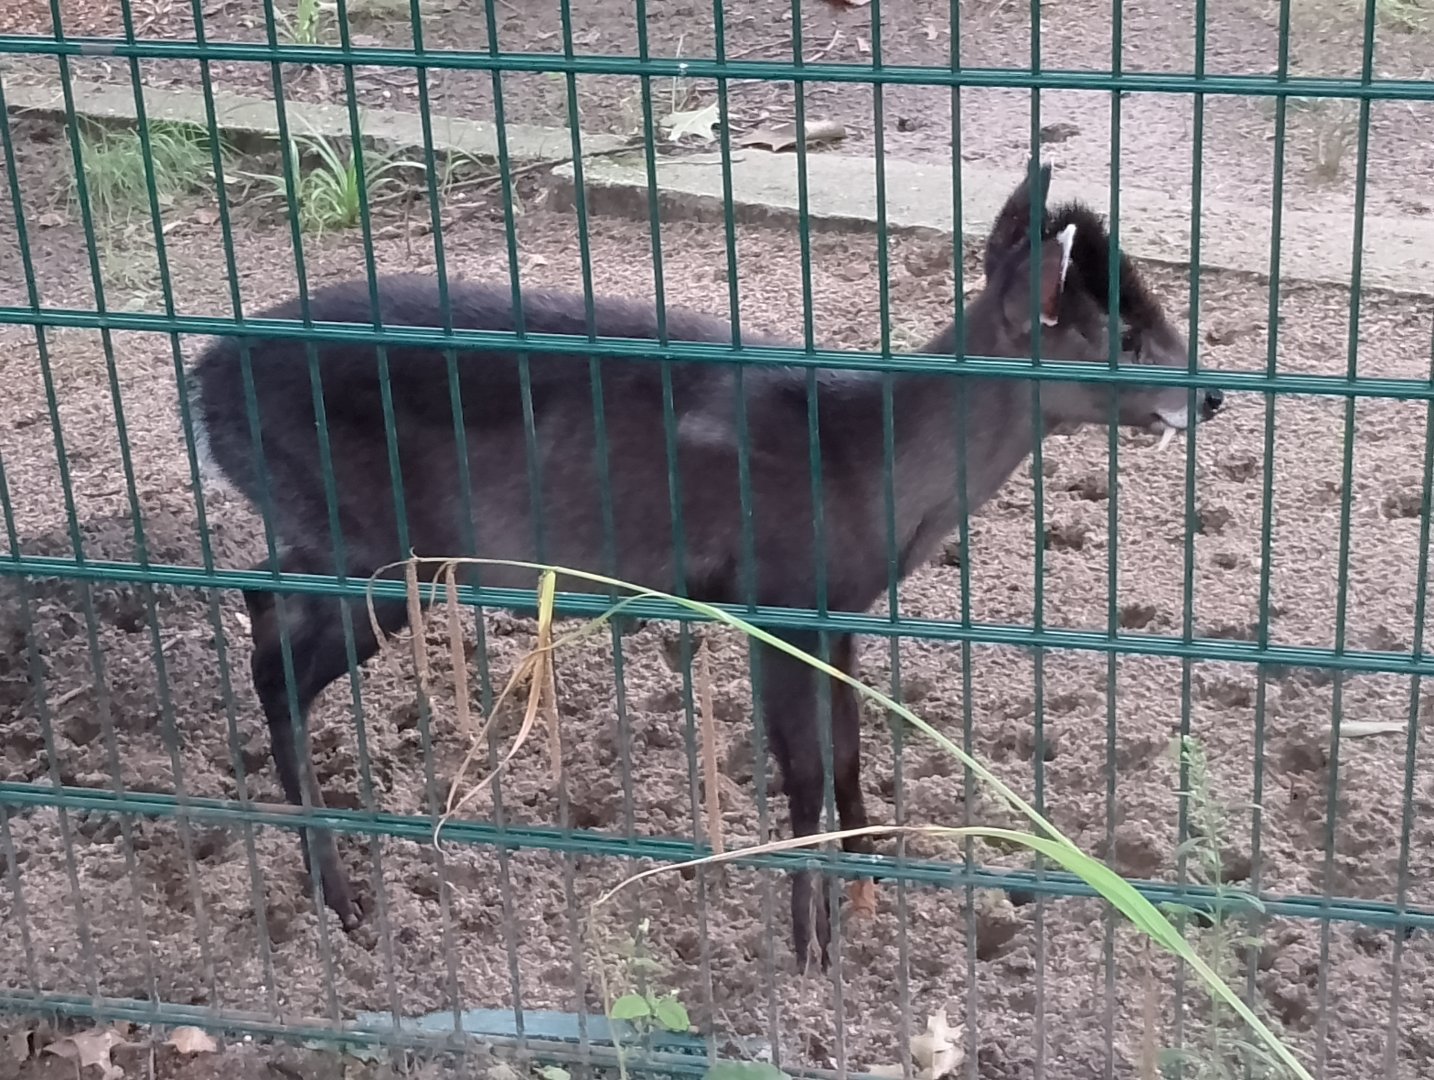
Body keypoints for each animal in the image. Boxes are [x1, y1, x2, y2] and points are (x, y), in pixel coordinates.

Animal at [185, 162, 1225, 972]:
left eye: (1153, 307)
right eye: (1122, 335)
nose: (1210, 394)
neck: (865, 460)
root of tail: (200, 379)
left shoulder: (839, 608)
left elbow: (848, 750)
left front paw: (870, 882)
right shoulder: (776, 592)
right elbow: (802, 768)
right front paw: (811, 941)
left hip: (344, 539)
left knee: (257, 595)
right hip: (385, 542)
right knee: (276, 661)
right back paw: (340, 895)